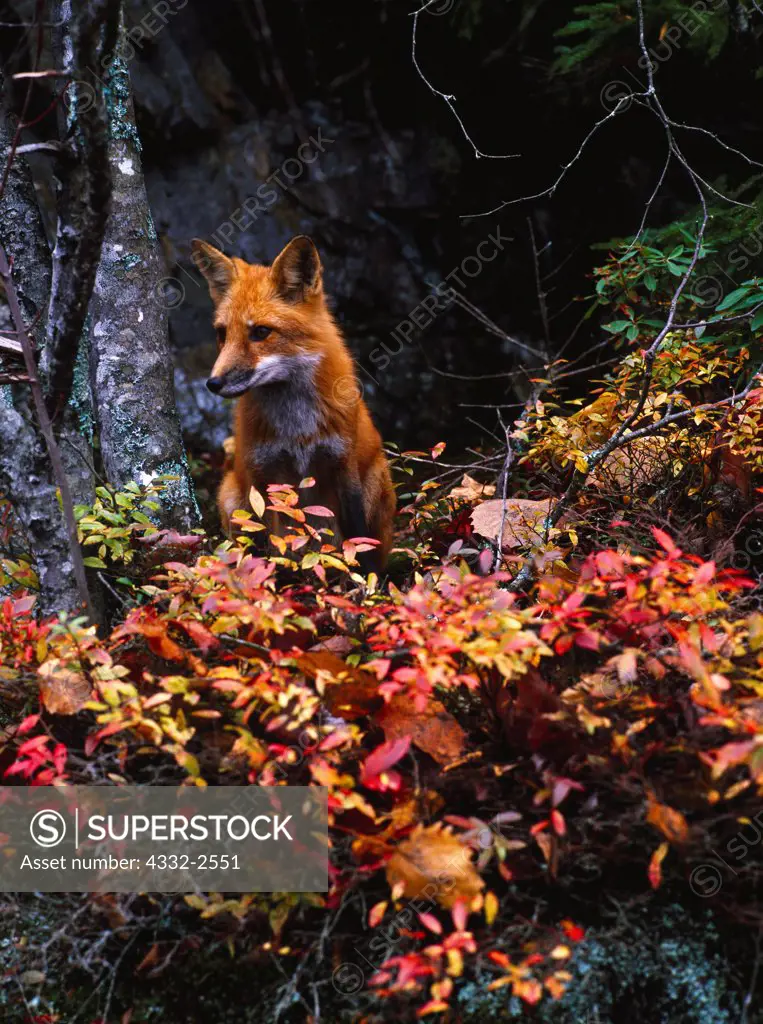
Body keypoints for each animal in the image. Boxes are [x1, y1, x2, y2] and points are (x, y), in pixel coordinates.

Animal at [190, 234, 395, 573]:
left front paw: (369, 584)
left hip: (376, 480)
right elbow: (267, 544)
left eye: (261, 332)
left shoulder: (344, 464)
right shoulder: (261, 476)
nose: (213, 383)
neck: (296, 427)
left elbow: (359, 540)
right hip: (230, 496)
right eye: (222, 333)